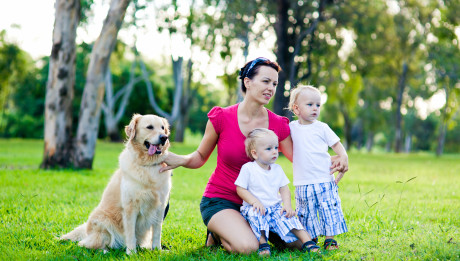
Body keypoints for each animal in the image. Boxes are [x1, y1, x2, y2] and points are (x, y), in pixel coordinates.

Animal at [59, 112, 171, 253]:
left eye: (162, 128)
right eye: (150, 127)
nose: (164, 137)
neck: (148, 166)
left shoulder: (160, 207)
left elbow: (157, 233)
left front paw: (157, 250)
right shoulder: (130, 207)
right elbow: (130, 233)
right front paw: (131, 253)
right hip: (103, 222)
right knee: (86, 244)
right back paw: (105, 251)